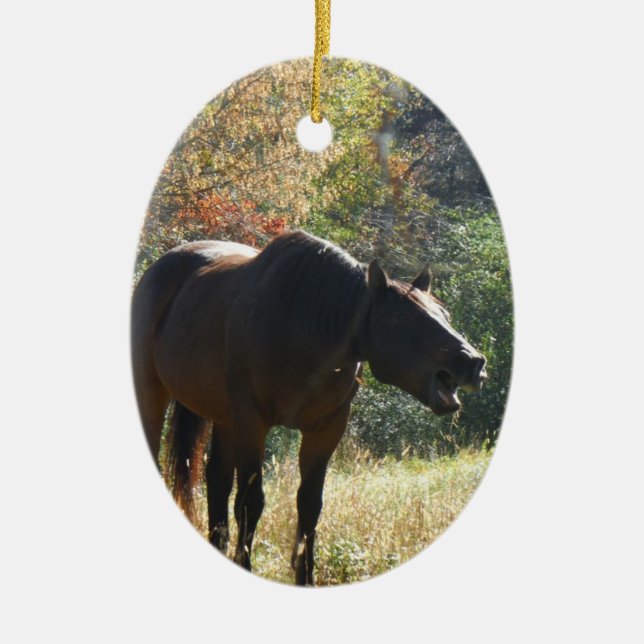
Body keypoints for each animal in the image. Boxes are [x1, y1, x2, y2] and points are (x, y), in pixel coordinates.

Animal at [131, 230, 487, 585]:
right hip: (154, 395)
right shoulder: (251, 422)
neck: (303, 325)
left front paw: (306, 576)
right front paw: (246, 564)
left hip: (223, 419)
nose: (472, 362)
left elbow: (309, 504)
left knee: (217, 482)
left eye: (444, 315)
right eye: (402, 317)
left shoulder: (326, 428)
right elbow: (251, 502)